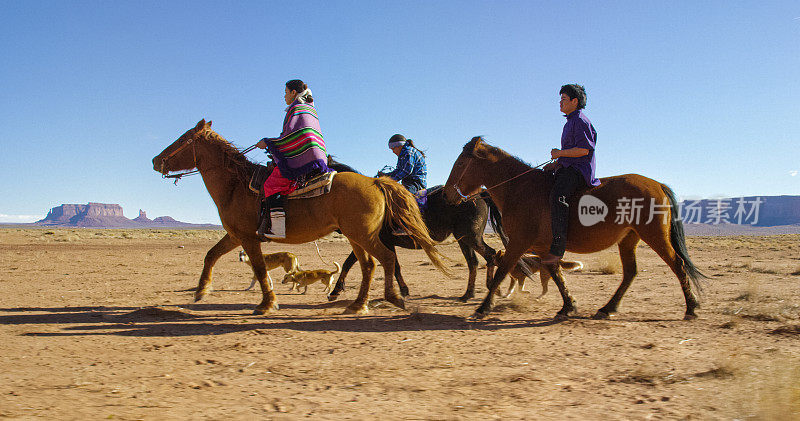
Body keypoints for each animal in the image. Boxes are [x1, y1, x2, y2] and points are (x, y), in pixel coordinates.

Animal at [150, 120, 450, 314]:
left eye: (183, 139)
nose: (155, 160)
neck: (236, 185)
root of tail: (375, 182)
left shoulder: (248, 238)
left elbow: (259, 268)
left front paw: (267, 304)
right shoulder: (236, 235)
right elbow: (211, 255)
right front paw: (202, 291)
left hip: (362, 235)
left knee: (385, 259)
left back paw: (391, 298)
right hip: (355, 236)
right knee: (369, 265)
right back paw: (357, 304)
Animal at [444, 136, 708, 320]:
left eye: (461, 162)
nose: (446, 195)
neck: (520, 189)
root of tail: (657, 185)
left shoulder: (520, 242)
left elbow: (503, 271)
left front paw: (483, 307)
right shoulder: (542, 247)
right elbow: (555, 273)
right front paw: (568, 306)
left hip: (654, 235)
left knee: (677, 264)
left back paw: (691, 308)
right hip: (629, 238)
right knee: (630, 272)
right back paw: (607, 308)